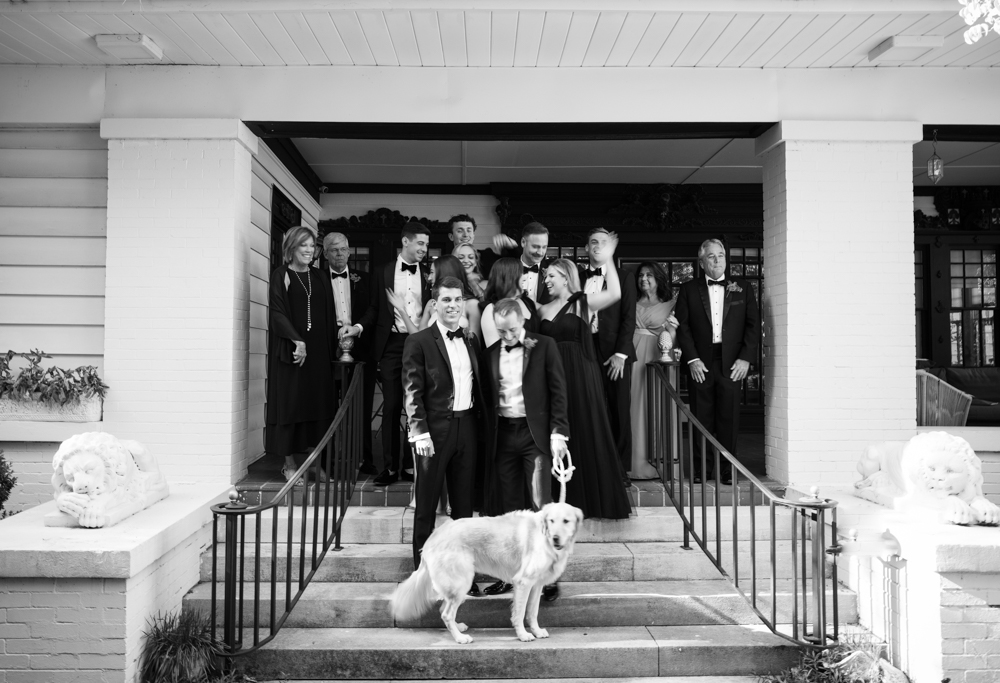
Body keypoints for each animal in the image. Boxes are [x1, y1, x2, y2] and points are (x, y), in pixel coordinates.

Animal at [386, 500, 584, 644]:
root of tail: (433, 536)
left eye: (566, 521)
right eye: (552, 521)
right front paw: (523, 635)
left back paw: (459, 628)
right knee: (446, 613)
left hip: (458, 586)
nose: (555, 538)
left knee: (444, 610)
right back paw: (460, 638)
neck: (543, 536)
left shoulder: (536, 585)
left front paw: (536, 631)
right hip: (462, 583)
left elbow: (532, 612)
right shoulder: (523, 583)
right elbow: (520, 613)